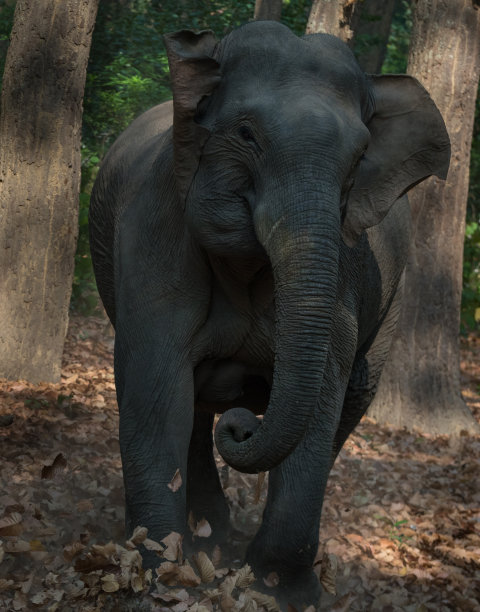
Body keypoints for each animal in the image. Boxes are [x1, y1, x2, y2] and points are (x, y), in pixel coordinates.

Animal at [87, 21, 450, 608]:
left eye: (359, 158)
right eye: (246, 133)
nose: (242, 424)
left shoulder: (345, 271)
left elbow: (321, 395)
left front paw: (281, 589)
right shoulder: (154, 232)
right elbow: (155, 389)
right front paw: (158, 574)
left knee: (349, 408)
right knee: (192, 412)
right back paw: (209, 536)